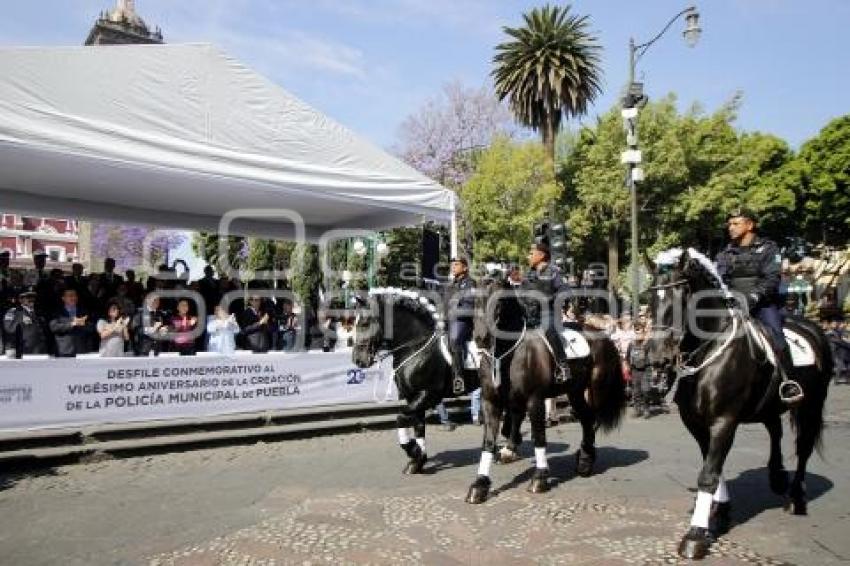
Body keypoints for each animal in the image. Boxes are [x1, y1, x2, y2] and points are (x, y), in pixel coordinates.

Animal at [350, 288, 474, 474]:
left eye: (364, 322)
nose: (357, 360)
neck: (415, 347)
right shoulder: (414, 397)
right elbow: (419, 427)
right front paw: (418, 461)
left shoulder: (427, 394)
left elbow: (400, 418)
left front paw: (412, 450)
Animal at [464, 280, 624, 506]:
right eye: (474, 300)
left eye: (500, 302)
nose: (481, 338)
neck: (509, 354)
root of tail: (605, 337)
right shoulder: (491, 402)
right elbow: (488, 441)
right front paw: (480, 485)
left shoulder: (535, 401)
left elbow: (539, 437)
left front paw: (539, 478)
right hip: (575, 393)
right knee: (586, 418)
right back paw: (584, 460)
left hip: (596, 391)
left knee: (592, 419)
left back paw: (586, 459)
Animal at [644, 248, 828, 560]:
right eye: (649, 298)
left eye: (682, 295)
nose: (658, 358)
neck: (710, 352)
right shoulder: (696, 423)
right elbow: (713, 467)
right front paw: (719, 513)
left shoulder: (723, 421)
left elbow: (709, 473)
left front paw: (695, 534)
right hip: (770, 405)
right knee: (775, 429)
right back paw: (777, 475)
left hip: (812, 405)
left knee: (803, 447)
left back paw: (796, 497)